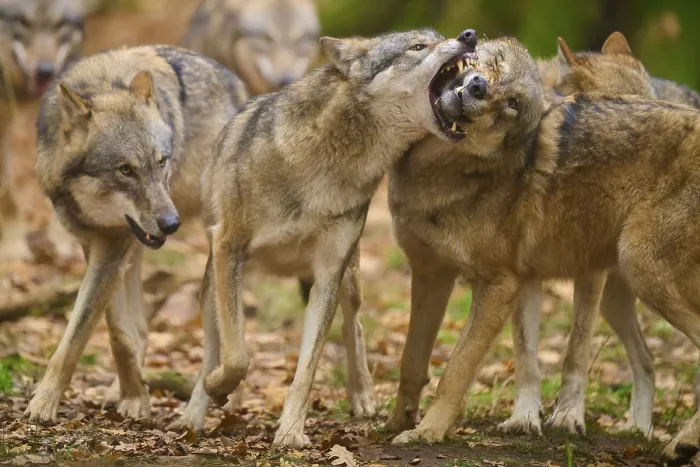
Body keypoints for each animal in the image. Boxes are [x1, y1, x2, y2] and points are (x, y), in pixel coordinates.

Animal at [25, 45, 248, 423]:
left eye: (161, 161)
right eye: (125, 170)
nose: (171, 224)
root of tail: (233, 78)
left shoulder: (113, 247)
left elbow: (75, 340)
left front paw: (44, 404)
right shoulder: (101, 244)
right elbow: (118, 333)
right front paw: (132, 394)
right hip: (137, 247)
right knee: (140, 329)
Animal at [195, 28, 478, 447]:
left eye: (438, 38)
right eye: (417, 46)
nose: (469, 36)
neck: (324, 164)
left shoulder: (328, 274)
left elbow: (306, 368)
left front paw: (290, 432)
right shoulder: (229, 249)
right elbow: (235, 356)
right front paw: (217, 388)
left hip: (349, 278)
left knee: (353, 325)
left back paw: (362, 396)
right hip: (215, 277)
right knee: (215, 343)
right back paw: (194, 411)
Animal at [386, 36, 700, 465]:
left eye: (513, 103)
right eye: (492, 63)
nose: (478, 87)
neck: (438, 169)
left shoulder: (500, 283)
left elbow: (458, 368)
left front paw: (427, 433)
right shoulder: (434, 274)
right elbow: (418, 359)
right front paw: (398, 422)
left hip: (642, 269)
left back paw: (682, 441)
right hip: (620, 296)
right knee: (648, 361)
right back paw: (646, 432)